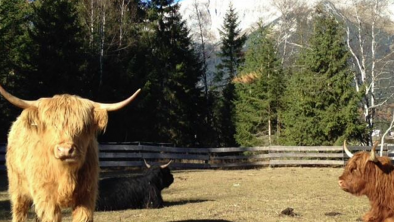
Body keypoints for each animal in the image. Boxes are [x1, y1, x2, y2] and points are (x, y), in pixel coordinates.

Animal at [0, 83, 139, 222]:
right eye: (50, 125)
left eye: (83, 126)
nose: (65, 150)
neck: (65, 173)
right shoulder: (46, 196)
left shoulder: (87, 196)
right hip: (17, 188)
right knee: (19, 210)